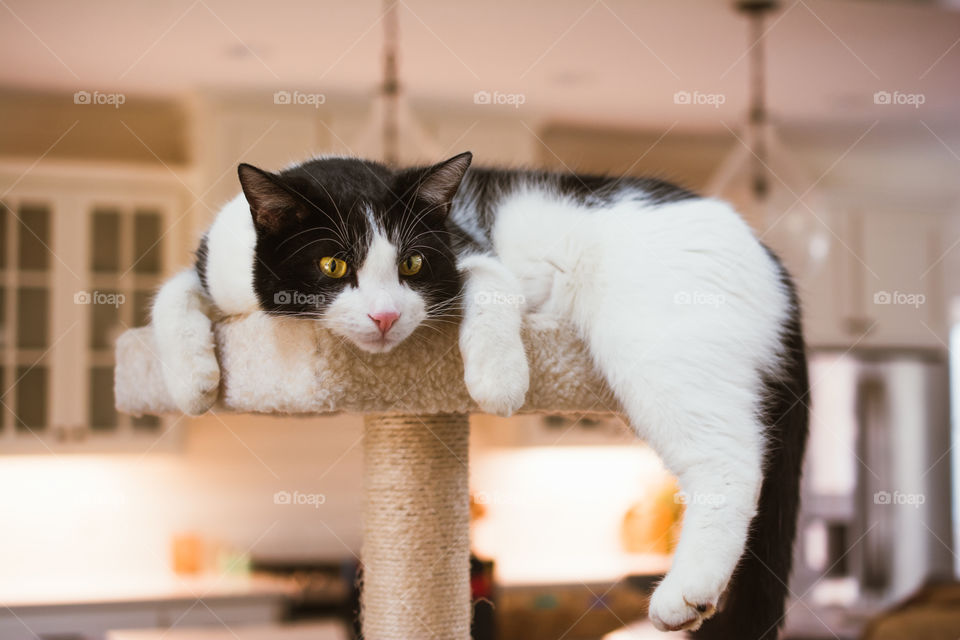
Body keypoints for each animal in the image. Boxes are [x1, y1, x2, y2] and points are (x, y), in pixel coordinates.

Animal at [152, 152, 808, 636]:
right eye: (334, 265)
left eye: (413, 264)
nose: (386, 315)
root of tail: (770, 256)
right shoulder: (217, 268)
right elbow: (171, 292)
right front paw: (190, 380)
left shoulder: (467, 245)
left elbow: (493, 285)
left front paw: (498, 377)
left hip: (660, 344)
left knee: (729, 461)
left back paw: (687, 591)